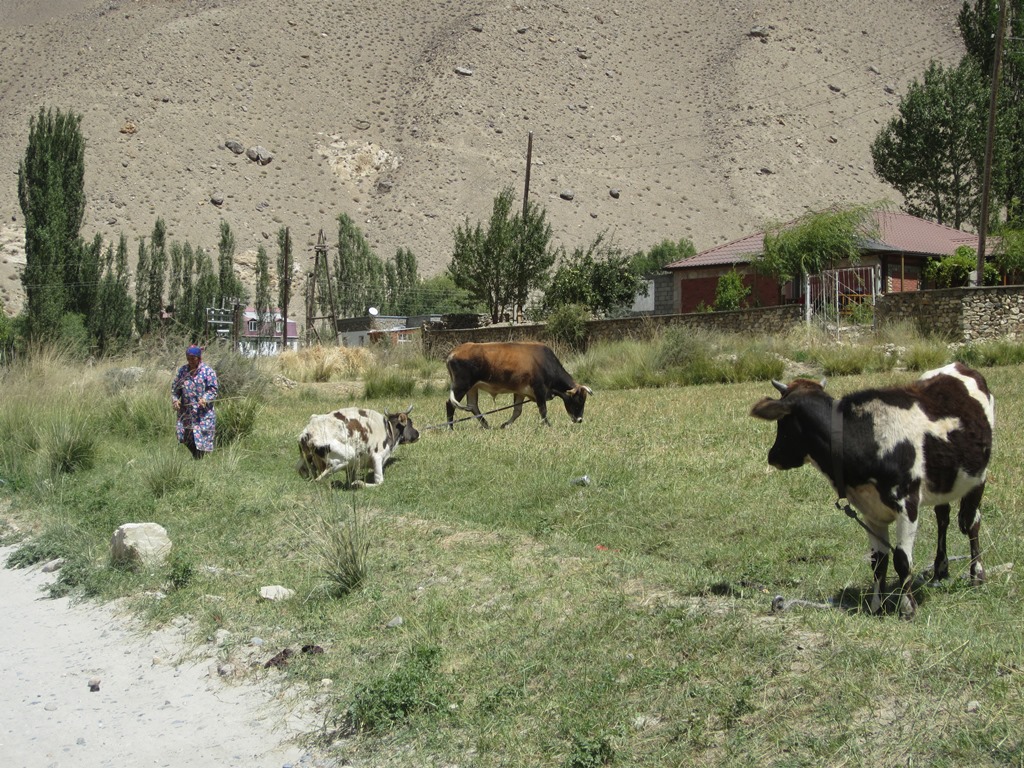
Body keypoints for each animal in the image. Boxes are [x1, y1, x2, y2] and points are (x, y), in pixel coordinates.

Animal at [749, 364, 995, 622]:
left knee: (971, 523)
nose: (773, 456)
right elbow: (879, 561)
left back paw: (977, 575)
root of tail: (960, 366)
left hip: (979, 477)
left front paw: (907, 608)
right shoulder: (871, 511)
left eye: (783, 422)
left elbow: (902, 560)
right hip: (944, 481)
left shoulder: (907, 504)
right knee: (943, 518)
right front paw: (877, 605)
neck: (866, 437)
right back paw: (940, 570)